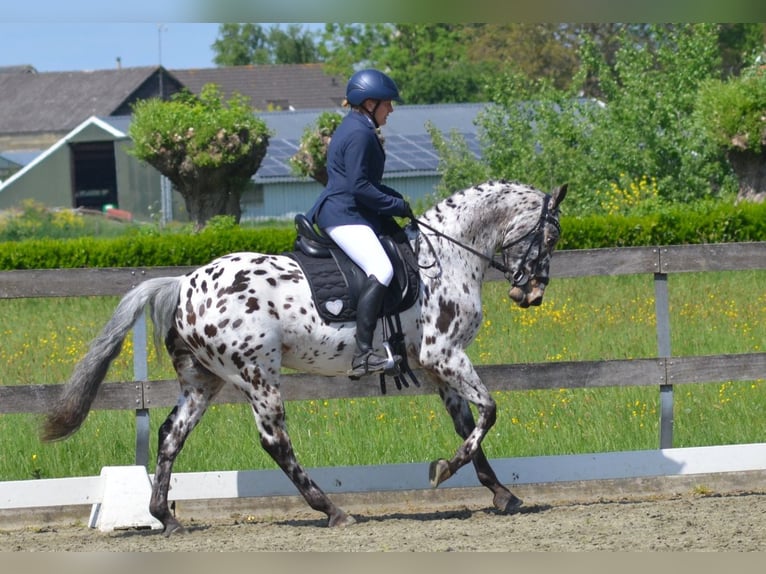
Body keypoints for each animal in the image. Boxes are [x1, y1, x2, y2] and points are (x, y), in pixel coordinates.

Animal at [42, 179, 567, 536]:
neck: (447, 258)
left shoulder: (433, 365)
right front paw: (443, 470)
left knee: (172, 434)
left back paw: (165, 517)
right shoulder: (446, 354)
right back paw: (332, 510)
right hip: (258, 374)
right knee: (274, 441)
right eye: (550, 237)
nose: (533, 294)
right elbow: (490, 411)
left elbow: (468, 425)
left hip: (203, 381)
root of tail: (182, 283)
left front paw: (500, 493)